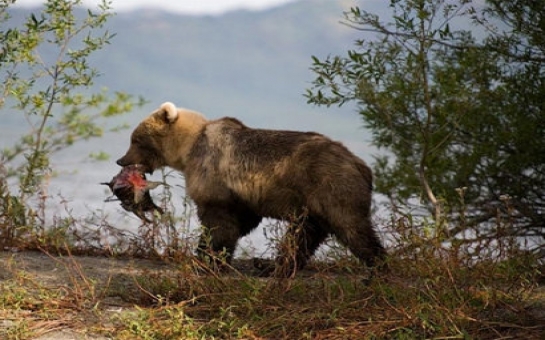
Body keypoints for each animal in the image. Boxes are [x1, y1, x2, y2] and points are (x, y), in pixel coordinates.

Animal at [117, 102, 384, 274]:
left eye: (135, 139)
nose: (121, 160)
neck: (188, 148)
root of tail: (362, 165)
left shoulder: (212, 174)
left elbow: (219, 222)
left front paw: (208, 258)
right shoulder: (240, 194)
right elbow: (241, 219)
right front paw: (206, 255)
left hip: (329, 184)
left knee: (350, 226)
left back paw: (378, 264)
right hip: (310, 203)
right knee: (303, 235)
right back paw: (272, 265)